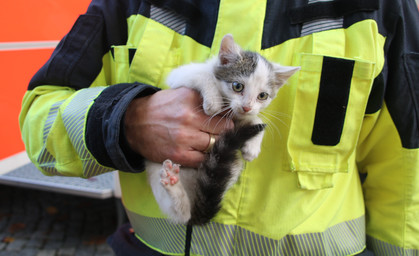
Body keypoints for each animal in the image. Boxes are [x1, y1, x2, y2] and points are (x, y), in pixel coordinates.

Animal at [146, 34, 300, 226]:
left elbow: (254, 119)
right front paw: (213, 102)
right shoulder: (180, 75)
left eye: (262, 96)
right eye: (237, 86)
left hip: (229, 167)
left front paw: (252, 147)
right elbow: (202, 75)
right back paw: (173, 188)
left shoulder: (237, 118)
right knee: (182, 215)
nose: (247, 107)